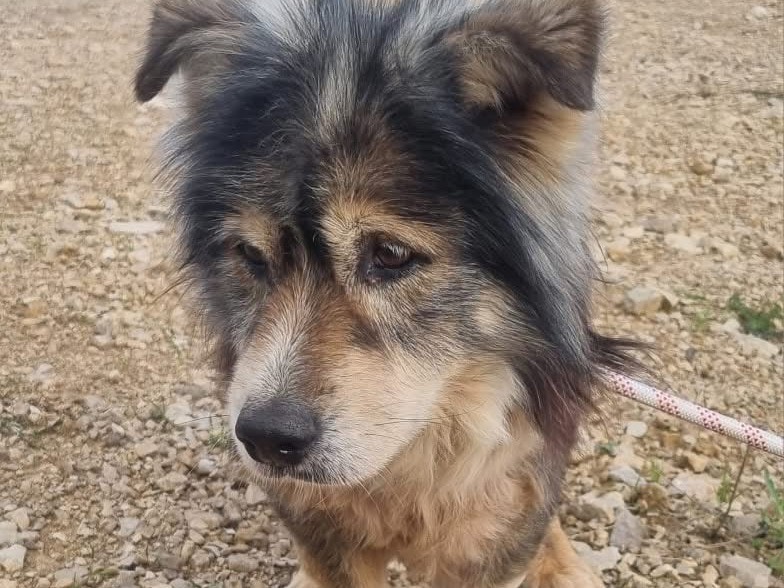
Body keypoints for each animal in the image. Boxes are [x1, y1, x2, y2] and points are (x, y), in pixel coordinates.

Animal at [135, 0, 634, 586]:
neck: (408, 461)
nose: (265, 439)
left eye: (391, 254)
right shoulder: (326, 535)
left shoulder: (491, 535)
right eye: (251, 254)